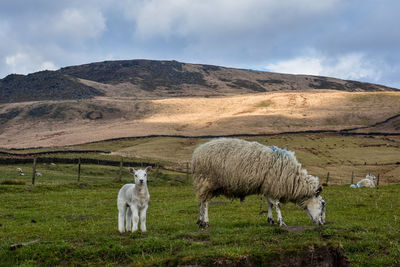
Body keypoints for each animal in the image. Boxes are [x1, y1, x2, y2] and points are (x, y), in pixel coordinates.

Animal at [192, 139, 326, 229]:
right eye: (323, 204)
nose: (322, 223)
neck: (294, 179)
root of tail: (197, 152)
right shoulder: (274, 185)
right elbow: (277, 205)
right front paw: (281, 222)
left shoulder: (268, 186)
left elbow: (269, 203)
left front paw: (271, 220)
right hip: (207, 181)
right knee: (206, 203)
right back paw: (206, 222)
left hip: (204, 183)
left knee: (201, 202)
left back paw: (200, 221)